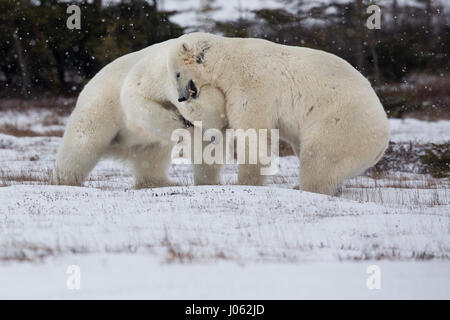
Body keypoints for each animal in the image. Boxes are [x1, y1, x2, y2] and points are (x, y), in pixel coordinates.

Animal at [52, 38, 227, 188]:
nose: (184, 98)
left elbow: (205, 145)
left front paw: (209, 181)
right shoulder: (152, 75)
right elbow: (137, 100)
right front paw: (179, 123)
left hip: (145, 142)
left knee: (152, 155)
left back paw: (162, 182)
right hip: (99, 108)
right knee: (82, 144)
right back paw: (66, 180)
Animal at [169, 33, 390, 196]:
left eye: (177, 73)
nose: (181, 97)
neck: (228, 60)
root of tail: (382, 141)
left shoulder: (252, 82)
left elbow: (253, 130)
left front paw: (244, 182)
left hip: (341, 122)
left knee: (319, 157)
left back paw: (306, 188)